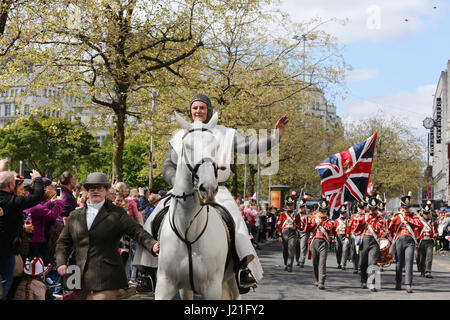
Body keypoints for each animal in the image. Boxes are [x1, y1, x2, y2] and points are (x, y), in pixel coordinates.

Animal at [154, 112, 239, 300]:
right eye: (187, 146)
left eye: (216, 146)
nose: (208, 188)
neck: (188, 233)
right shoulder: (165, 285)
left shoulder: (212, 288)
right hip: (186, 288)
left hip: (232, 281)